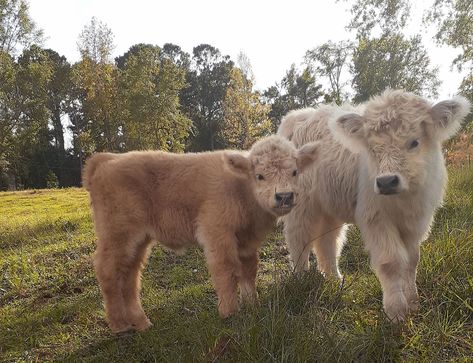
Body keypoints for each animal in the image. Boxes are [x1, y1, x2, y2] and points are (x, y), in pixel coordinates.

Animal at [83, 135, 318, 334]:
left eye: (295, 172)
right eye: (259, 176)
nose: (284, 196)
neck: (241, 189)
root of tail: (106, 159)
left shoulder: (247, 240)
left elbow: (249, 270)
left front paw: (253, 304)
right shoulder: (217, 231)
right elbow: (226, 269)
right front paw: (230, 312)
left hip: (138, 241)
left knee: (130, 276)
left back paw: (141, 322)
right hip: (117, 235)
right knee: (108, 271)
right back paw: (120, 325)